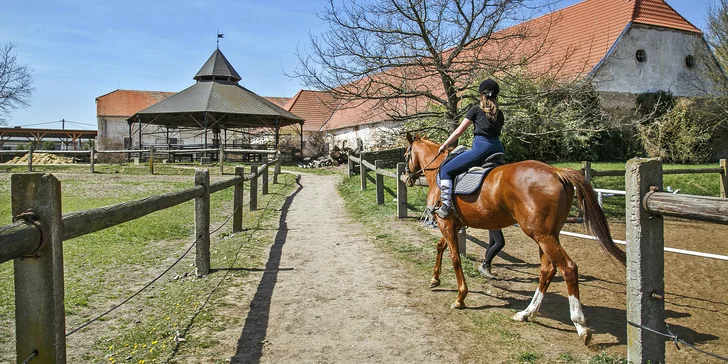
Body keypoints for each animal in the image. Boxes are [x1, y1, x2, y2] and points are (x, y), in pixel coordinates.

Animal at [404, 134, 624, 344]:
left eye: (406, 154)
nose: (406, 177)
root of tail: (556, 172)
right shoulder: (452, 226)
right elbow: (440, 247)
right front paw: (435, 278)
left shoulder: (446, 225)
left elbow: (455, 258)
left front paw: (460, 297)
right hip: (547, 236)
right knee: (547, 270)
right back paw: (527, 313)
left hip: (543, 236)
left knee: (568, 268)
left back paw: (580, 325)